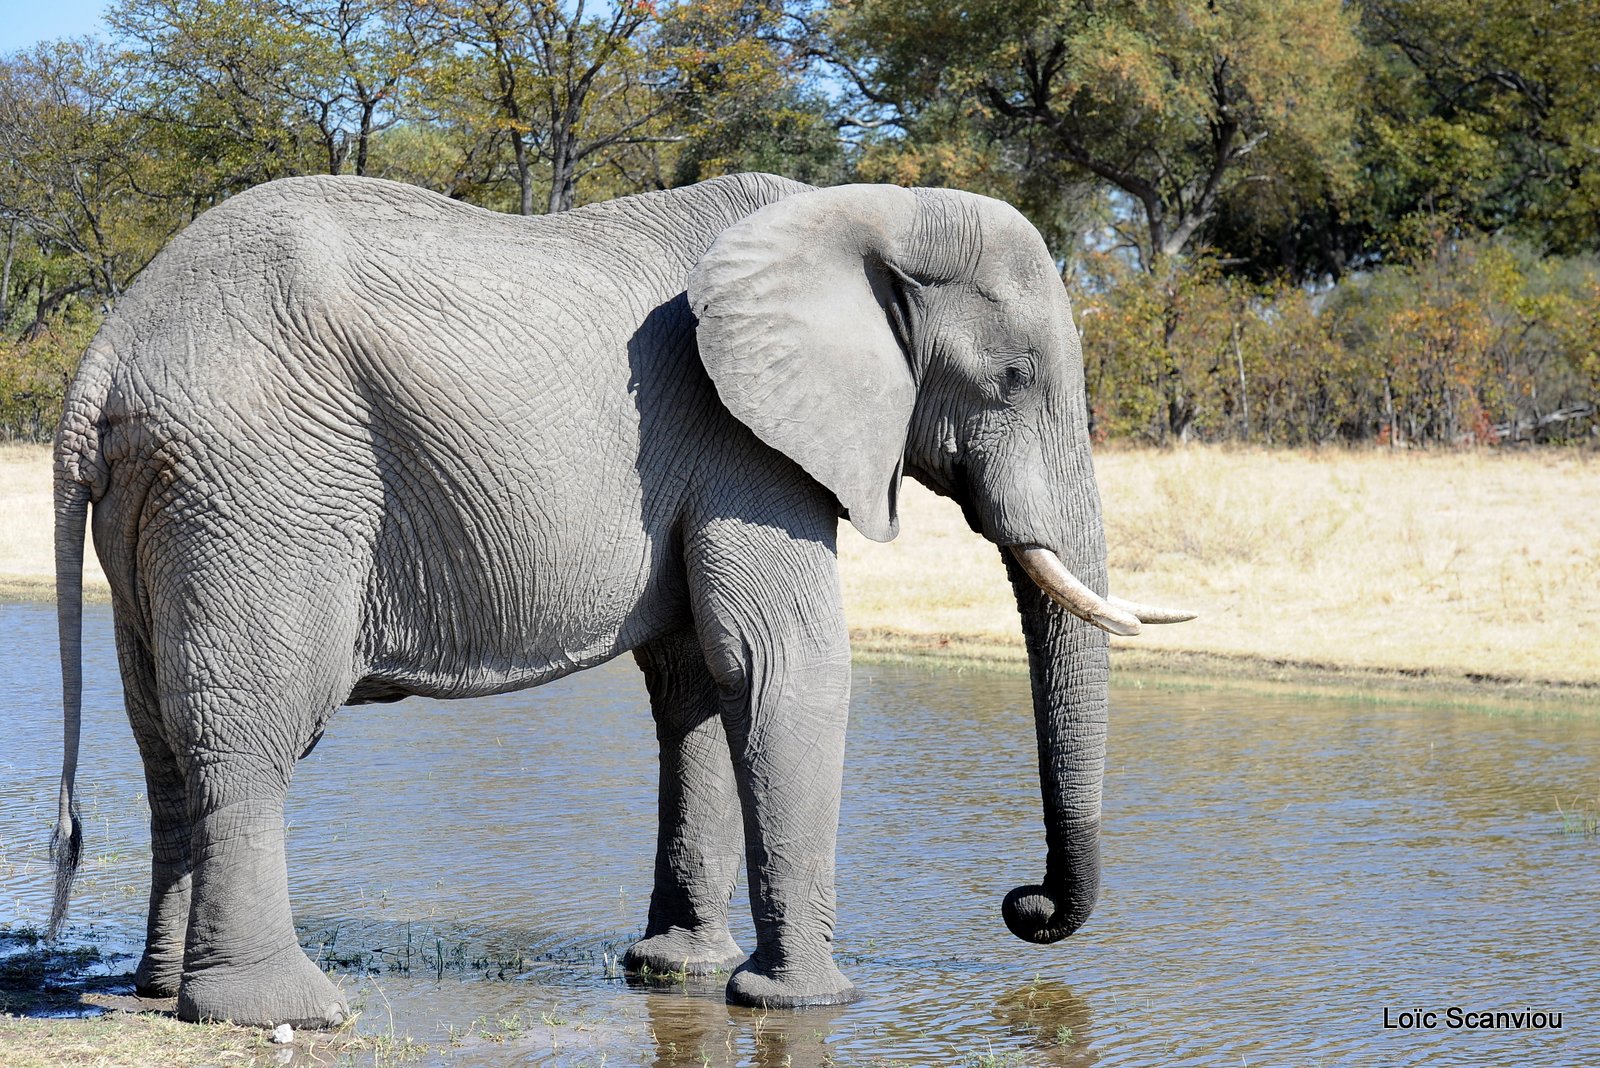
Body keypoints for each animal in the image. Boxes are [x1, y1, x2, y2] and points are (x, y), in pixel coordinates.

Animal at [46, 173, 1190, 1023]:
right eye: (1012, 378)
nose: (1025, 904)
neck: (871, 209)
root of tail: (106, 354)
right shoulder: (742, 441)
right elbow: (784, 665)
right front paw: (808, 1003)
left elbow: (701, 681)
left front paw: (678, 972)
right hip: (261, 487)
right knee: (253, 730)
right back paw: (285, 1010)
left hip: (171, 498)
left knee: (164, 735)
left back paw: (159, 996)